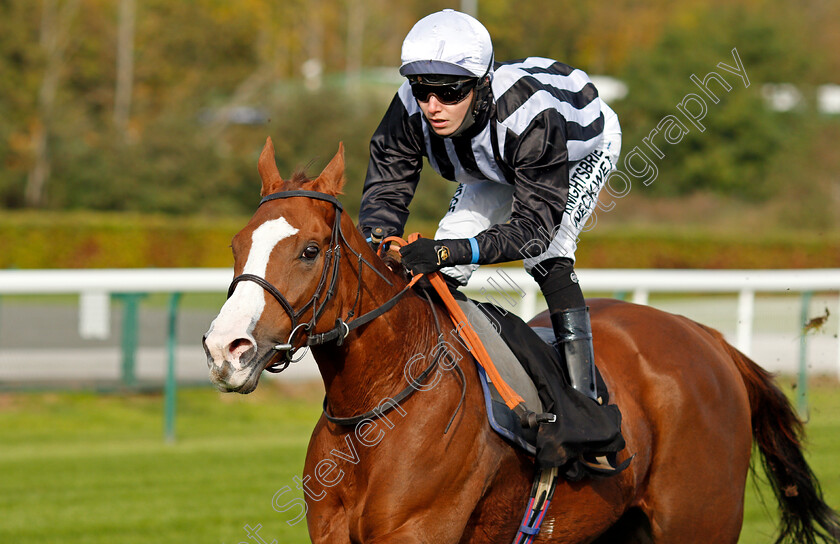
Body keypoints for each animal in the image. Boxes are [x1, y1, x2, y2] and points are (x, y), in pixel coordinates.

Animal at [205, 138, 840, 540]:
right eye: (236, 244)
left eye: (310, 250)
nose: (224, 349)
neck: (379, 405)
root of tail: (709, 338)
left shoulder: (417, 531)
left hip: (697, 523)